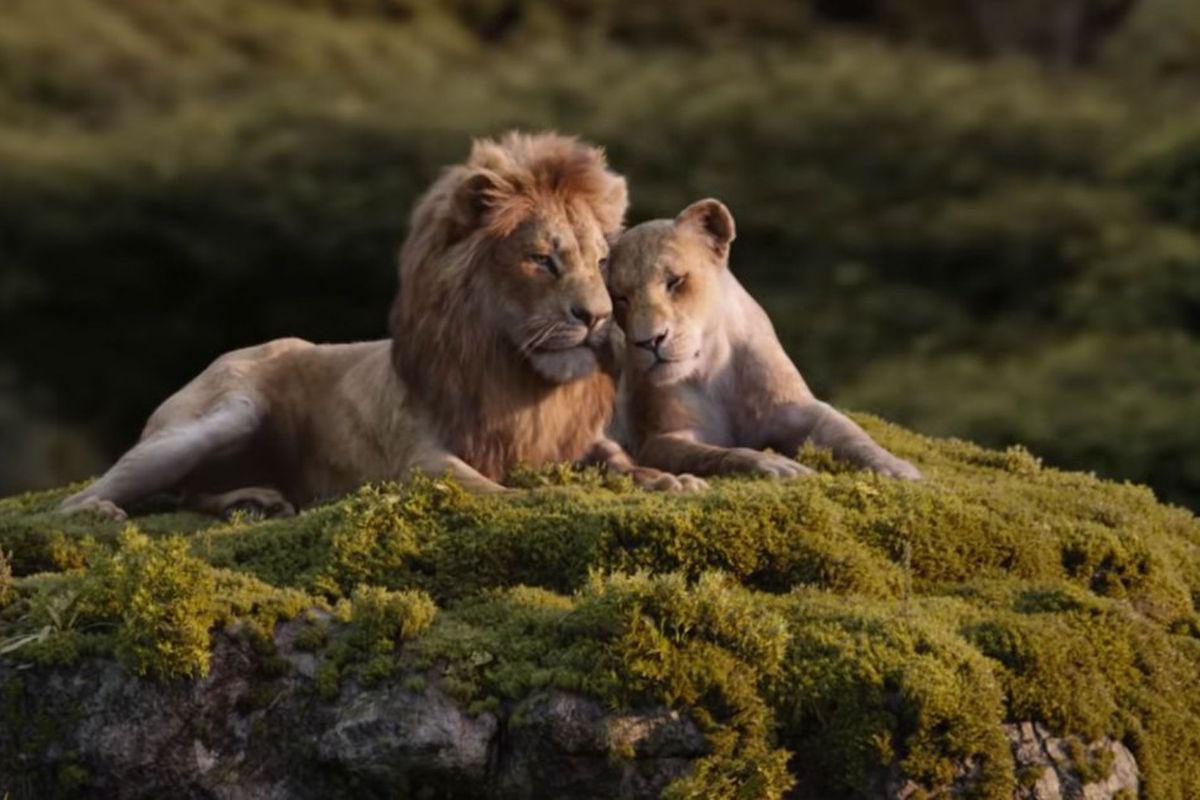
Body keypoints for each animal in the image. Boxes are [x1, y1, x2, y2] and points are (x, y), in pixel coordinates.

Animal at [60, 132, 701, 521]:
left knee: (190, 492)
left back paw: (256, 499)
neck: (520, 378)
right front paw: (540, 497)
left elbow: (620, 461)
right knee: (94, 494)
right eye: (542, 259)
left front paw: (669, 481)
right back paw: (97, 511)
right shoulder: (415, 459)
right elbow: (486, 486)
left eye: (601, 261)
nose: (596, 318)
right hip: (225, 413)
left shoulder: (575, 440)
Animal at [606, 198, 922, 481]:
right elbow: (718, 454)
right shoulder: (659, 439)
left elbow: (849, 433)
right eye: (620, 297)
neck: (713, 368)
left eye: (674, 281)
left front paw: (896, 467)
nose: (648, 341)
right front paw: (777, 466)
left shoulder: (796, 408)